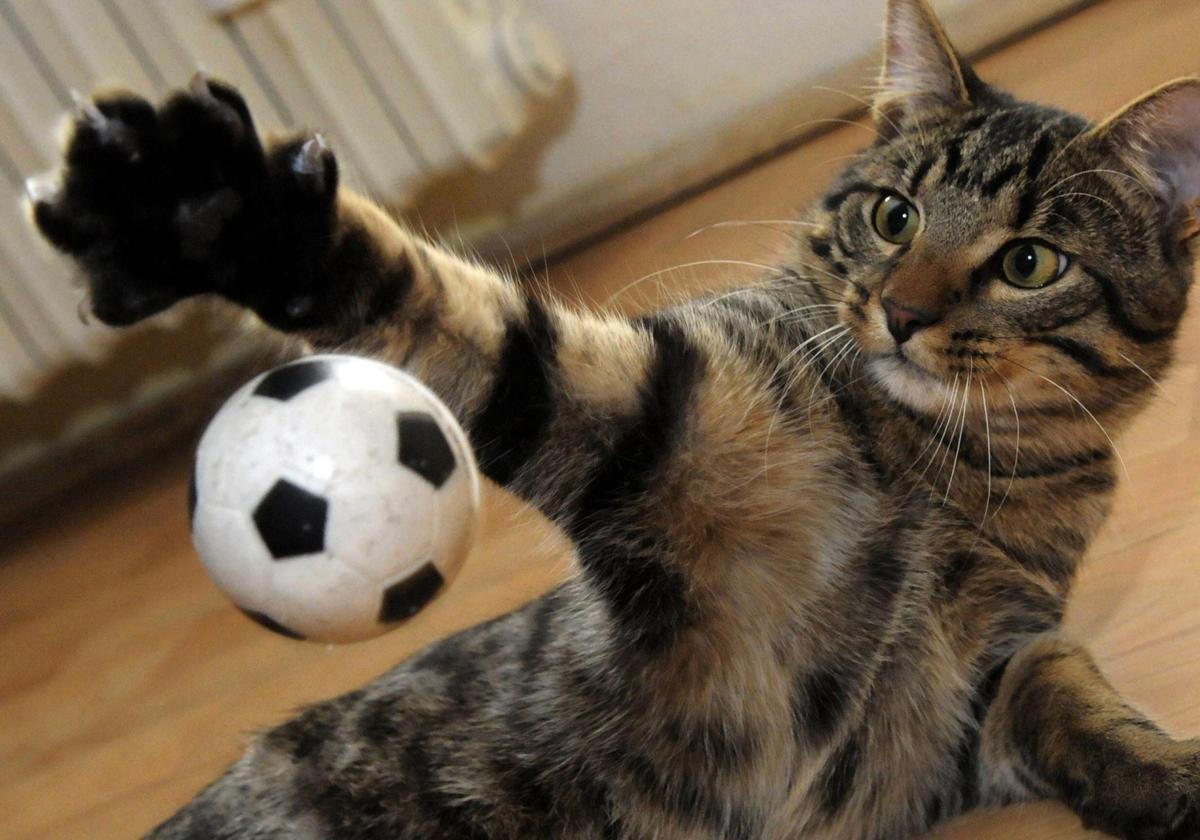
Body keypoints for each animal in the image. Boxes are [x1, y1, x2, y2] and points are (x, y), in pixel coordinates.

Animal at [25, 1, 1200, 840]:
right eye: (893, 215)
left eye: (1029, 263)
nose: (902, 313)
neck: (935, 467)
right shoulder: (652, 412)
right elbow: (462, 318)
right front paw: (217, 212)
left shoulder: (980, 683)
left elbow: (1077, 698)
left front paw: (1170, 779)